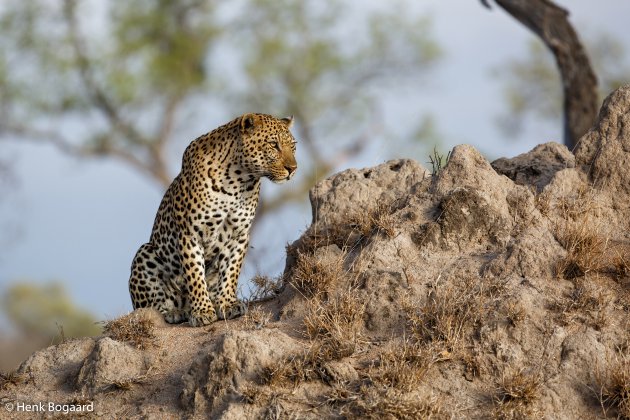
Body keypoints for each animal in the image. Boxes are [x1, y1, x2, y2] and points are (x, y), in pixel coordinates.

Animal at [128, 113, 298, 326]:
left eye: (293, 146)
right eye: (274, 145)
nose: (293, 168)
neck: (238, 180)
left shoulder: (239, 235)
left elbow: (231, 271)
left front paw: (228, 304)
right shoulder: (190, 234)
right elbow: (194, 274)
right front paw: (202, 311)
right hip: (145, 253)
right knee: (149, 307)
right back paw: (174, 312)